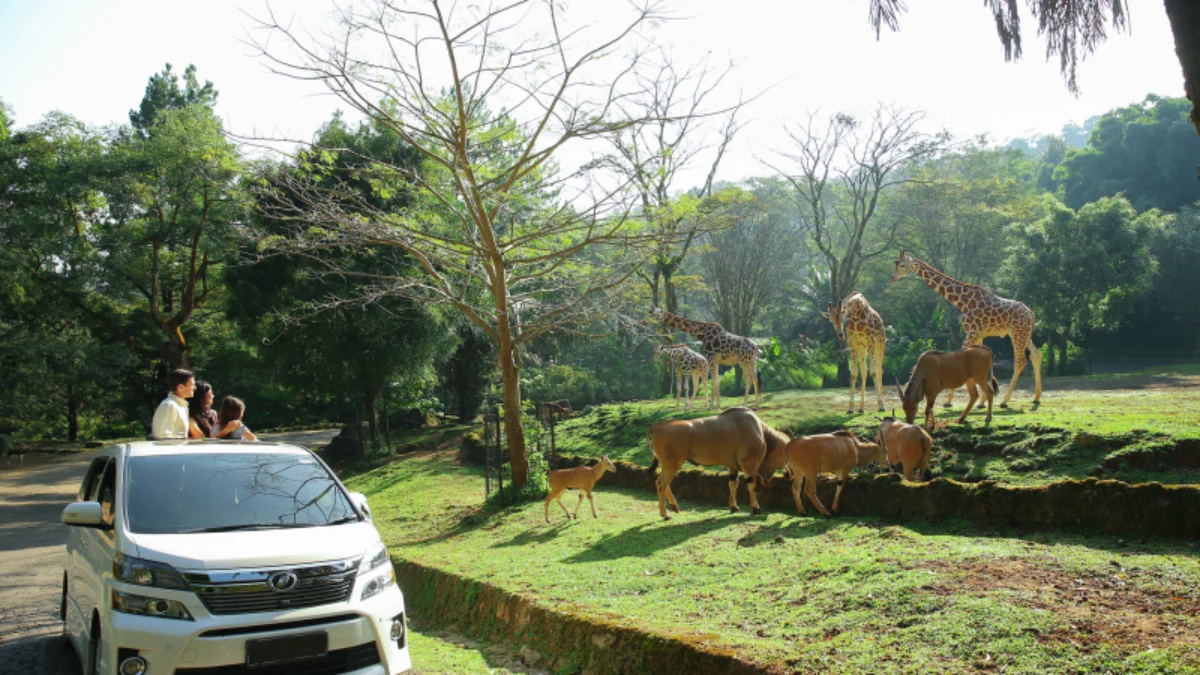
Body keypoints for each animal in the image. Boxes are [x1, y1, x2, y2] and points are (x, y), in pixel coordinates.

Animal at [648, 403, 787, 521]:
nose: (787, 474)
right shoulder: (749, 464)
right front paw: (756, 508)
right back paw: (665, 514)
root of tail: (655, 427)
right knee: (661, 484)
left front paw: (734, 507)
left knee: (664, 484)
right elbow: (752, 486)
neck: (761, 430)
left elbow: (733, 484)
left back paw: (675, 507)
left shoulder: (732, 467)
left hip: (669, 465)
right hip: (672, 464)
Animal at [892, 247, 1041, 403]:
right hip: (1024, 334)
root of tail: (1032, 314)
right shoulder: (978, 333)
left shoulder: (972, 331)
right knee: (1036, 355)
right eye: (895, 263)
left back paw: (1005, 401)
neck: (963, 302)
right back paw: (1036, 397)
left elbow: (961, 355)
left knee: (1021, 361)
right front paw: (982, 401)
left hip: (1018, 334)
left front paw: (949, 401)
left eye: (902, 265)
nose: (893, 278)